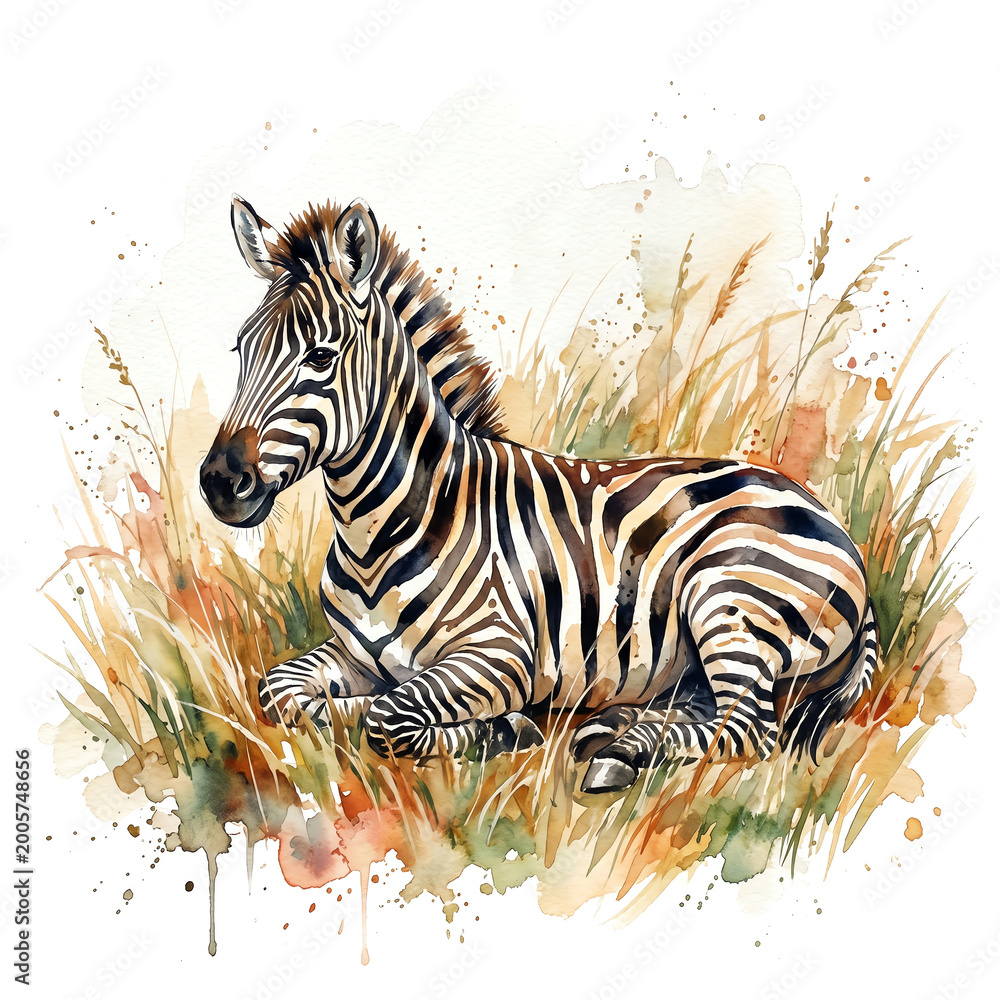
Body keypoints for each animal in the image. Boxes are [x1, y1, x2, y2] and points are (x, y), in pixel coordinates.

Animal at [199, 194, 877, 794]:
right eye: (240, 349)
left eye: (320, 357)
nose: (218, 483)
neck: (378, 530)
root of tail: (828, 516)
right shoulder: (354, 653)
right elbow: (285, 696)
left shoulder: (502, 652)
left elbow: (386, 717)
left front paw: (501, 728)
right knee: (710, 710)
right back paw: (614, 727)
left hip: (729, 597)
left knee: (748, 731)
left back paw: (621, 753)